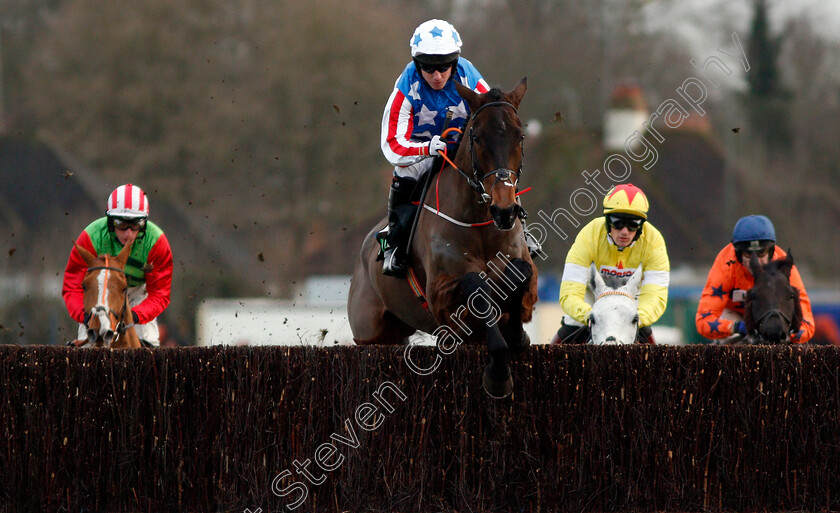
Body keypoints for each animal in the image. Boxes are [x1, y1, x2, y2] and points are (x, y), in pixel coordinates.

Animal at [348, 78, 540, 398]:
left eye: (520, 136)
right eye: (477, 137)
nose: (504, 210)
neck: (480, 224)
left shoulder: (525, 270)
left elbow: (521, 272)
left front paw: (517, 335)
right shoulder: (440, 294)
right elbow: (475, 285)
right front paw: (498, 376)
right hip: (370, 333)